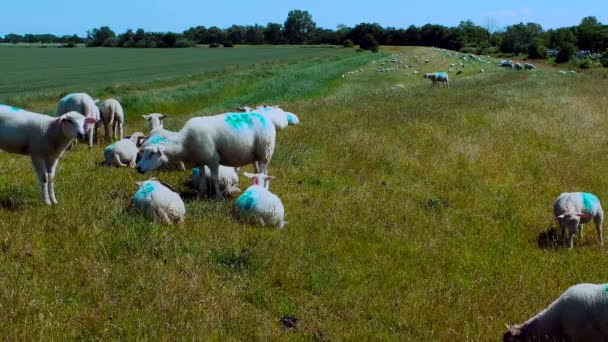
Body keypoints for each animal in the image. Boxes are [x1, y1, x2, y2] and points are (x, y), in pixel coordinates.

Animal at [137, 111, 276, 200]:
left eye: (152, 154)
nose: (138, 168)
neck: (185, 143)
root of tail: (266, 118)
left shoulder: (212, 159)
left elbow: (214, 178)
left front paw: (218, 197)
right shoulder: (200, 159)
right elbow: (202, 175)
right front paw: (202, 192)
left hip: (265, 151)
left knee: (262, 172)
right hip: (257, 155)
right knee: (261, 171)